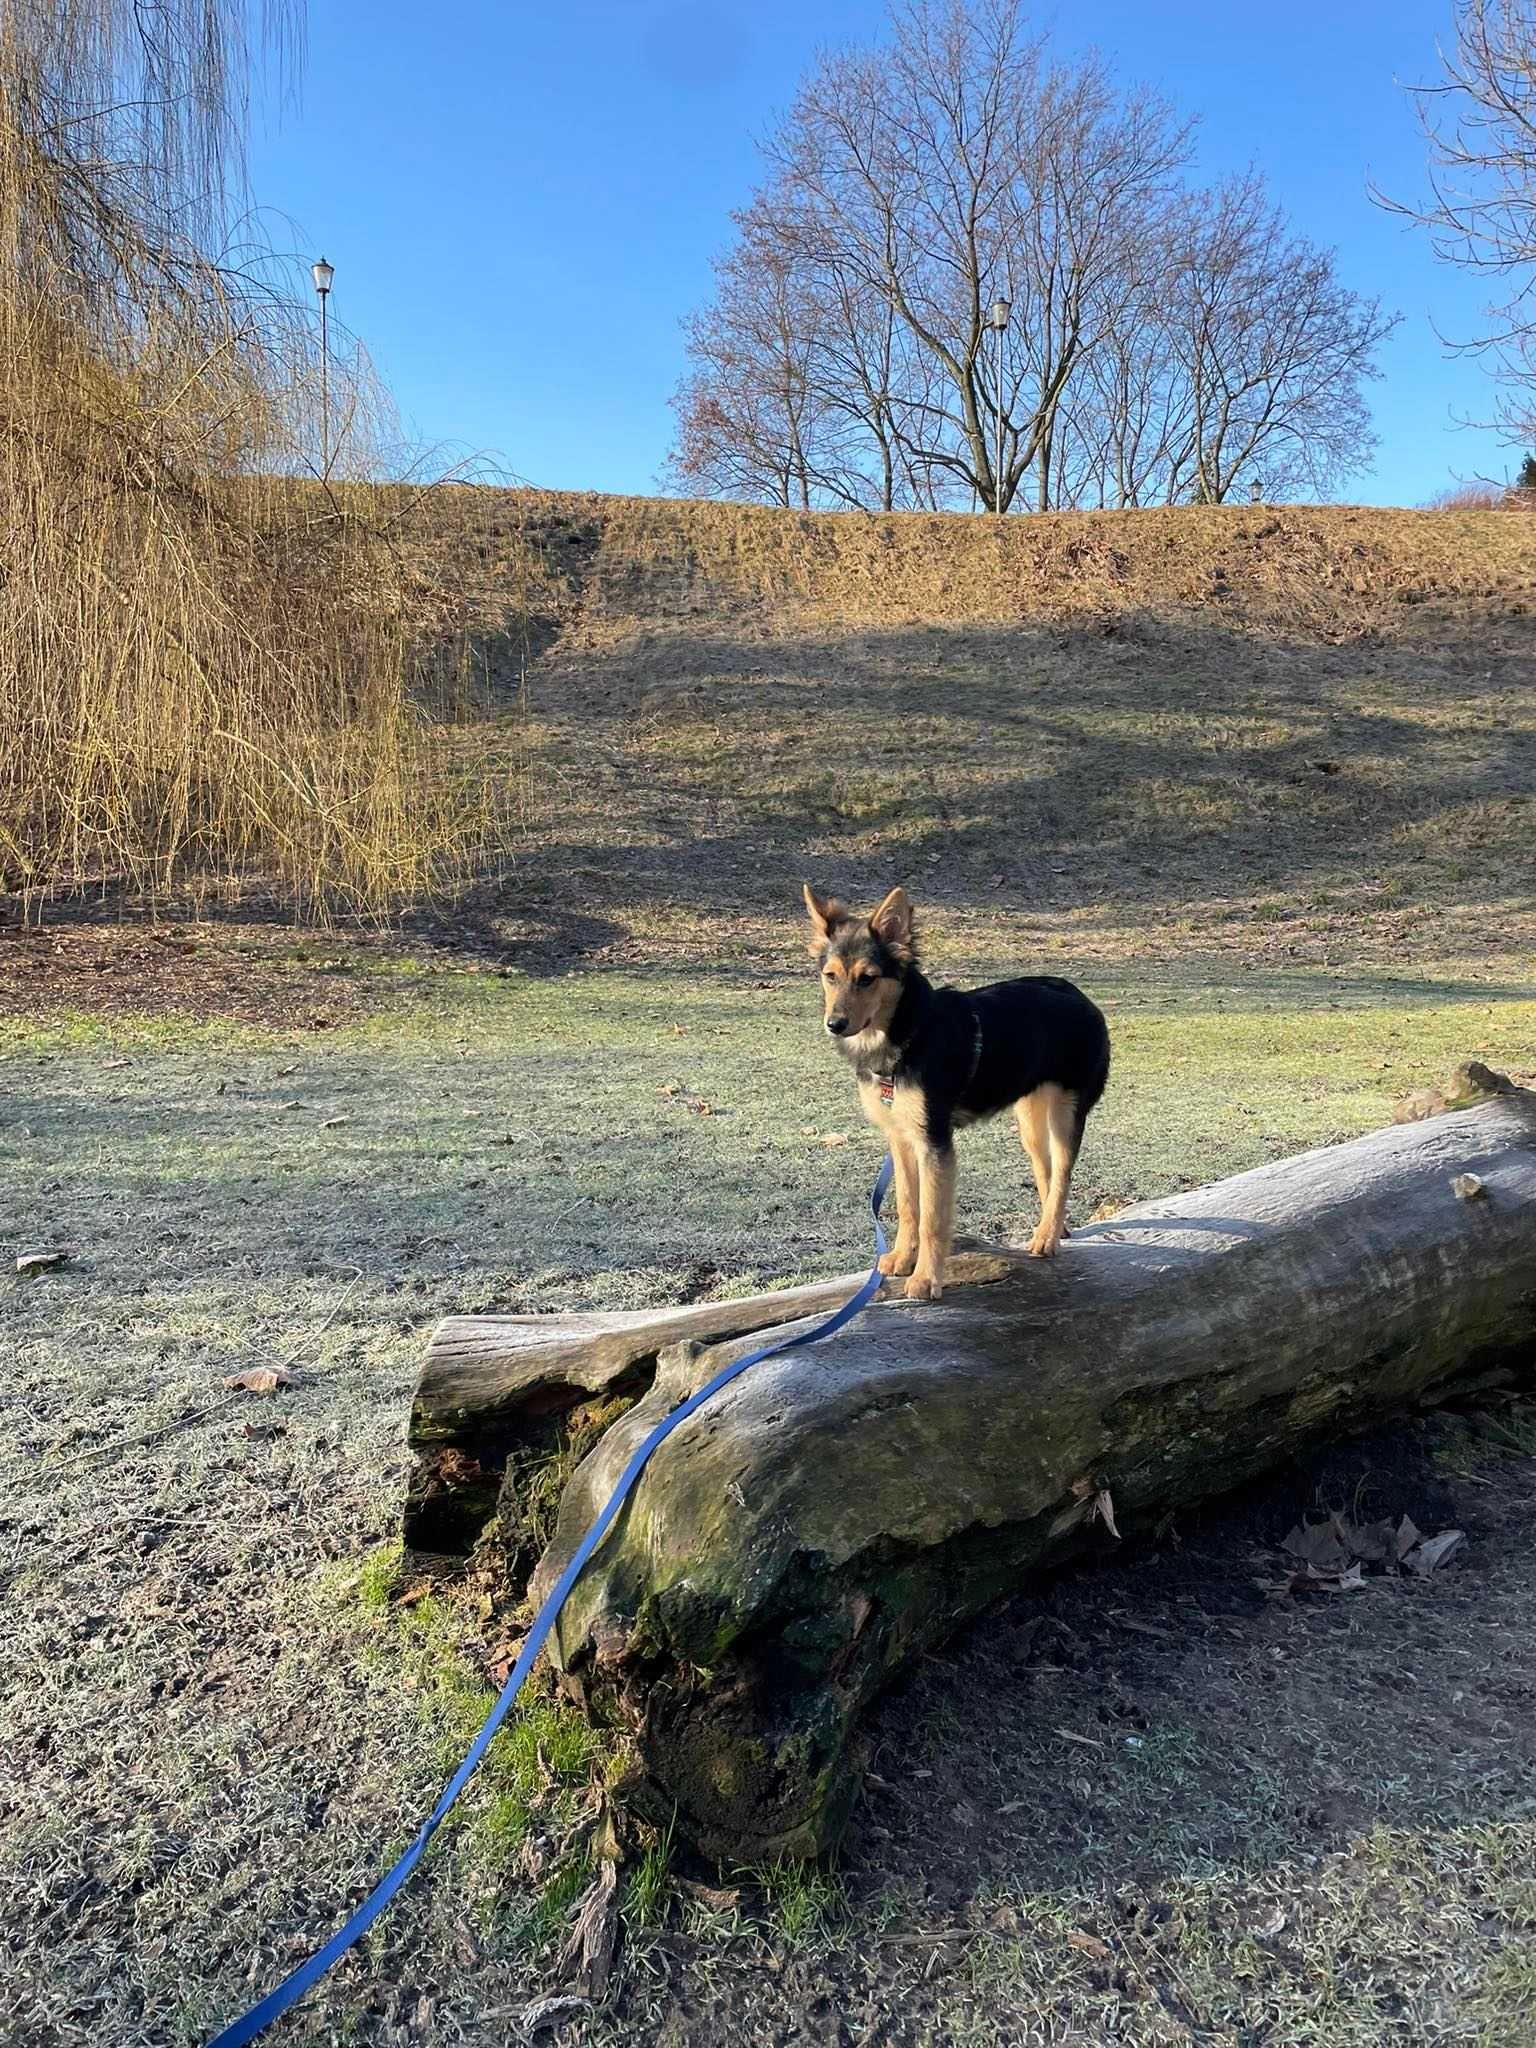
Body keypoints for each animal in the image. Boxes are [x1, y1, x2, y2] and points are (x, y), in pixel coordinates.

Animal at [798, 884, 1114, 1302]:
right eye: (829, 976)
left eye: (867, 978)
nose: (834, 1023)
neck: (906, 1033)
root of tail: (1081, 996)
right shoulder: (901, 1138)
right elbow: (908, 1206)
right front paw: (902, 1257)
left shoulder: (935, 1141)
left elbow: (932, 1217)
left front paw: (925, 1279)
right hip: (1030, 1121)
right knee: (1045, 1170)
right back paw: (1053, 1226)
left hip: (1067, 1113)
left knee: (1062, 1173)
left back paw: (1047, 1237)